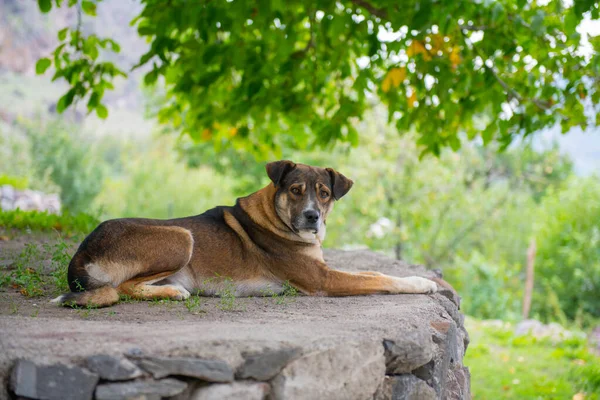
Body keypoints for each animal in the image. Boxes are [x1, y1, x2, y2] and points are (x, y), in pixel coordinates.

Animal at [51, 161, 436, 308]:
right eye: (296, 190)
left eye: (324, 193)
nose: (312, 216)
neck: (275, 217)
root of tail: (80, 256)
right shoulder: (322, 280)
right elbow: (379, 277)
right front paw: (422, 283)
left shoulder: (325, 270)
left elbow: (371, 270)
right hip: (181, 236)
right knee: (123, 287)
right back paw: (173, 291)